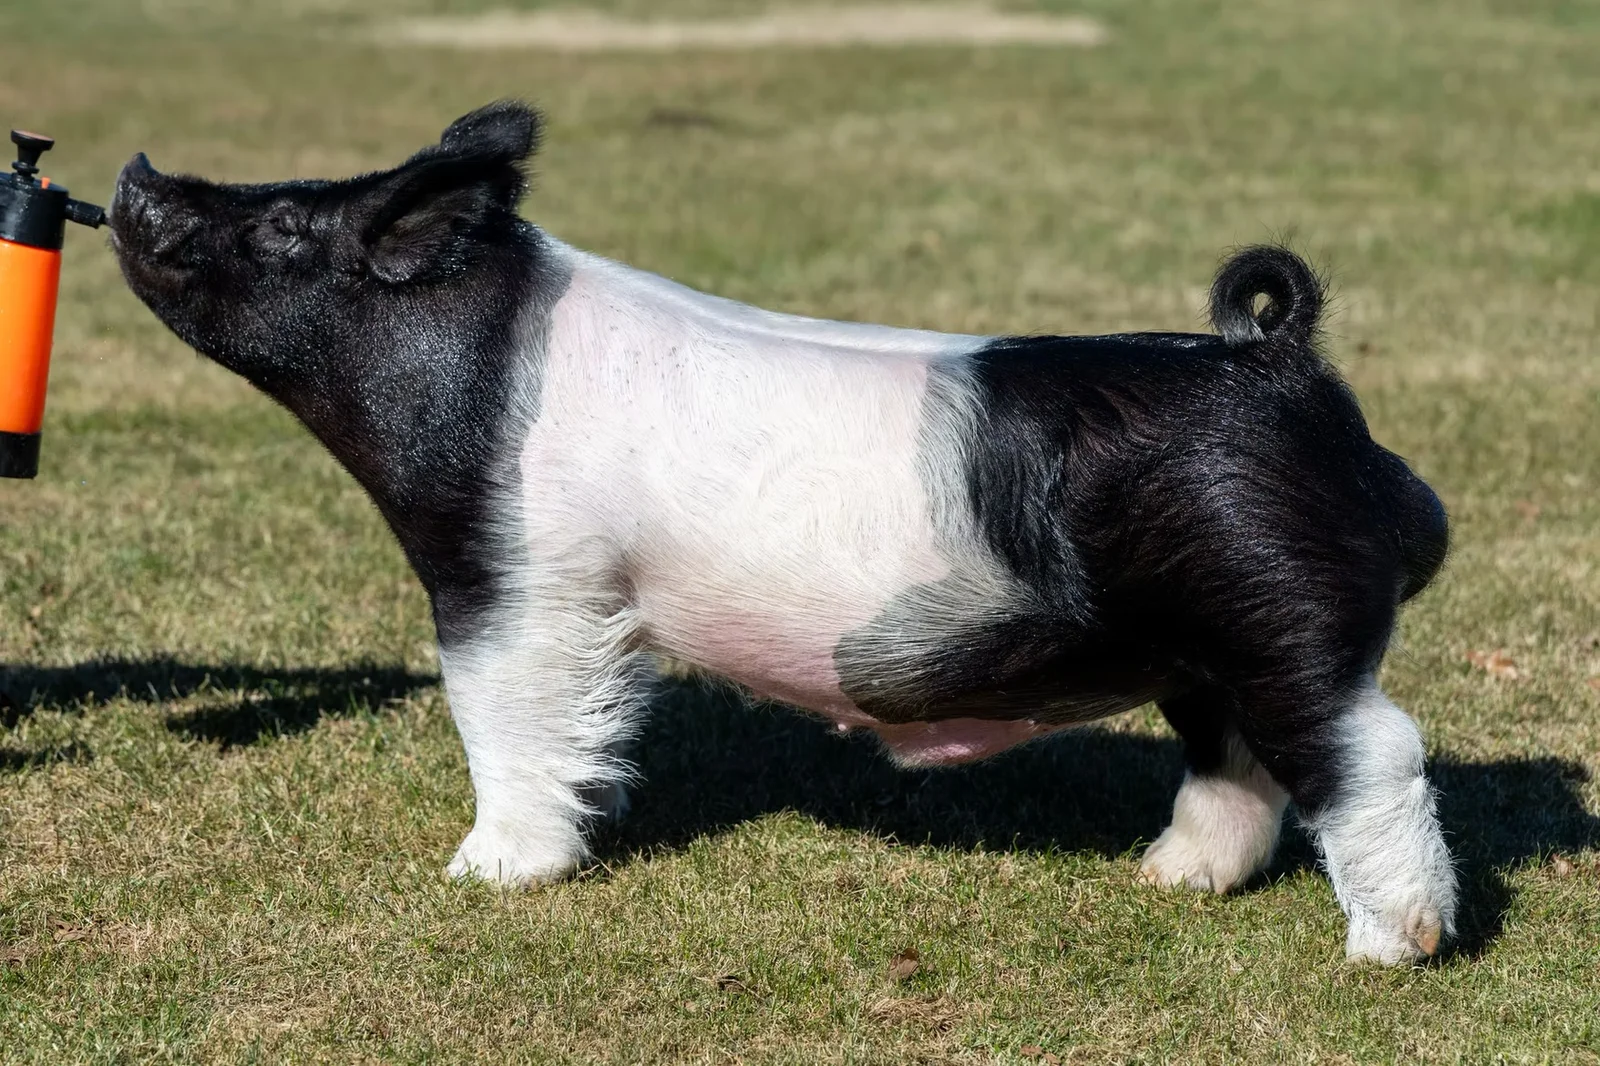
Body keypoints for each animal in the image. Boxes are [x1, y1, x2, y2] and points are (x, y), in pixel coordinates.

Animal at [110, 101, 1455, 964]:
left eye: (286, 228)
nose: (136, 171)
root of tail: (1278, 358)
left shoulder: (520, 577)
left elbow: (506, 717)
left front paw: (483, 875)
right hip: (1203, 637)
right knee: (1235, 757)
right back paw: (1165, 878)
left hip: (1278, 605)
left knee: (1371, 752)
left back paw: (1389, 950)